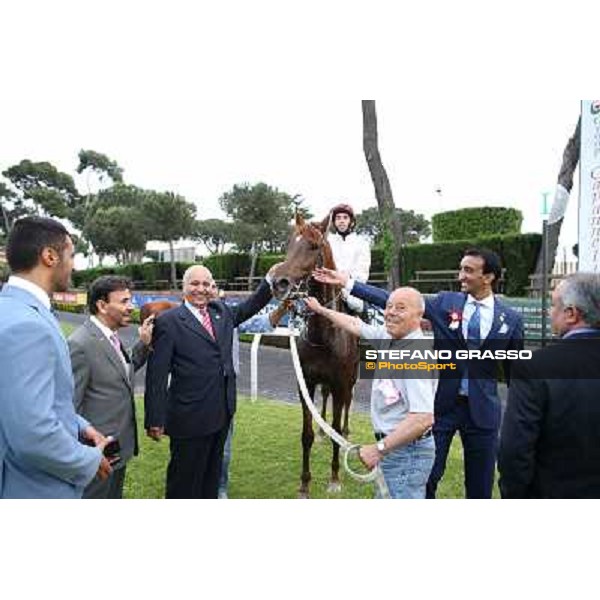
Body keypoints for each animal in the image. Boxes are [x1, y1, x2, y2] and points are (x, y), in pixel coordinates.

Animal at [274, 214, 360, 496]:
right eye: (289, 244)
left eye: (313, 246)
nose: (278, 282)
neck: (324, 336)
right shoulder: (306, 384)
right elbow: (307, 434)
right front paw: (304, 484)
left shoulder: (341, 382)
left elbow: (336, 426)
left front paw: (334, 478)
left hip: (350, 381)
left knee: (346, 405)